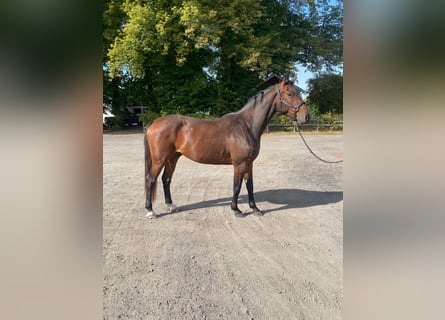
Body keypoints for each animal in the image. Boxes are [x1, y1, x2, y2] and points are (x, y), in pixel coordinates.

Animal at [144, 76, 306, 219]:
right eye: (290, 93)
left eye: (299, 92)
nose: (306, 117)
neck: (246, 125)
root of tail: (154, 122)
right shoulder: (239, 163)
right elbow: (237, 186)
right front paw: (236, 210)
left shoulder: (249, 163)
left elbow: (250, 185)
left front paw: (255, 209)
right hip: (160, 160)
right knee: (150, 179)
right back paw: (150, 211)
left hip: (172, 158)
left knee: (166, 179)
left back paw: (171, 206)